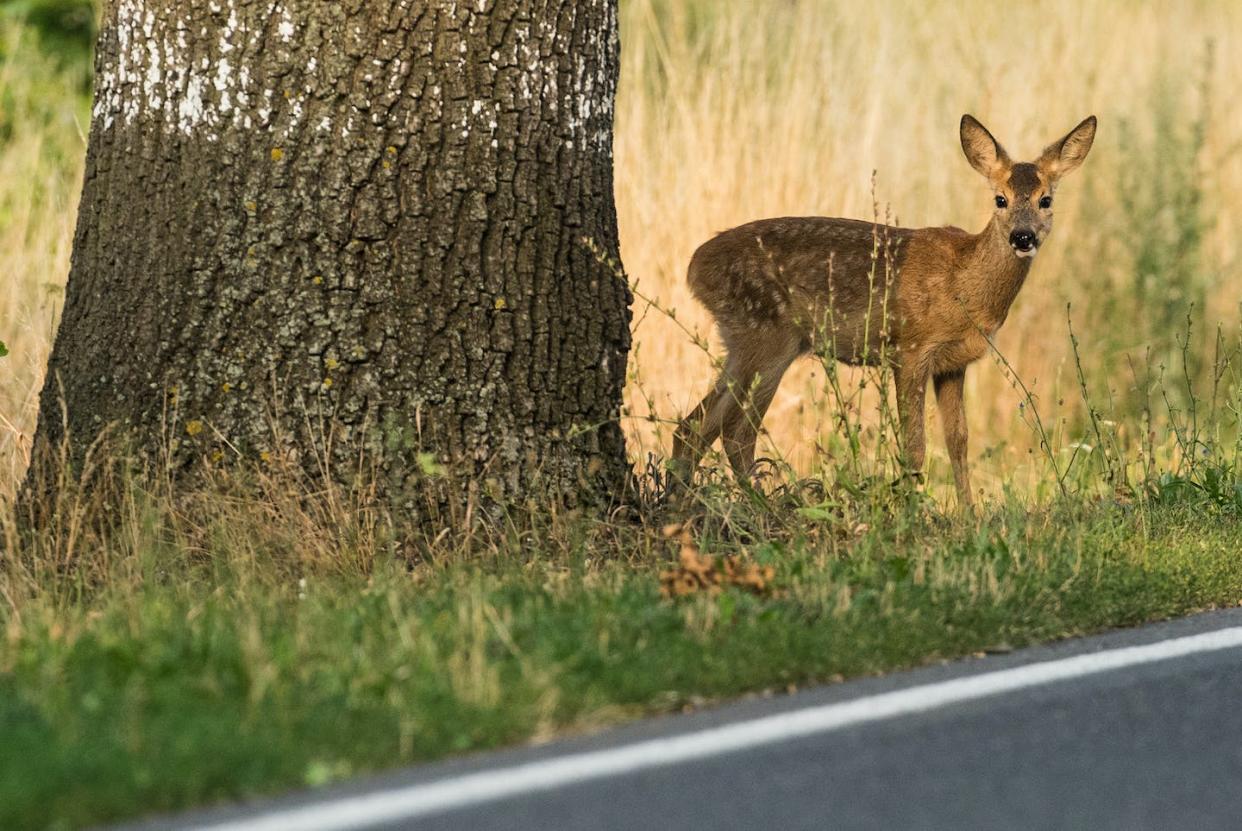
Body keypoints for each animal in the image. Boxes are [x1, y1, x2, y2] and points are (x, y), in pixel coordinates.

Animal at [670, 114, 1097, 506]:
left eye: (1046, 200)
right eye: (1000, 199)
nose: (1022, 237)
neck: (964, 285)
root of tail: (695, 267)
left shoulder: (953, 363)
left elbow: (958, 441)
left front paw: (968, 516)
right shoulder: (909, 350)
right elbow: (915, 446)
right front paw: (914, 513)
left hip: (743, 343)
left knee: (694, 428)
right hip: (766, 338)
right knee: (736, 432)